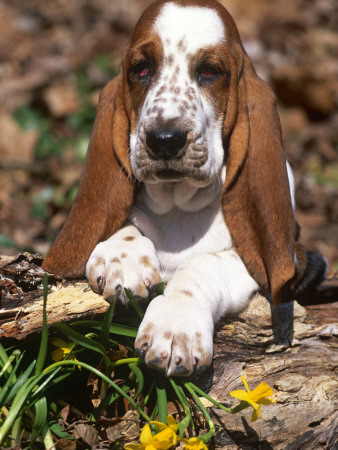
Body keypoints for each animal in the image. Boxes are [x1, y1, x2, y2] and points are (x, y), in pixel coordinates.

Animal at [41, 0, 324, 376]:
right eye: (141, 69)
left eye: (210, 72)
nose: (164, 140)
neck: (179, 204)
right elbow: (127, 224)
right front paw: (123, 258)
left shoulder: (273, 261)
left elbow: (204, 263)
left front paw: (176, 325)